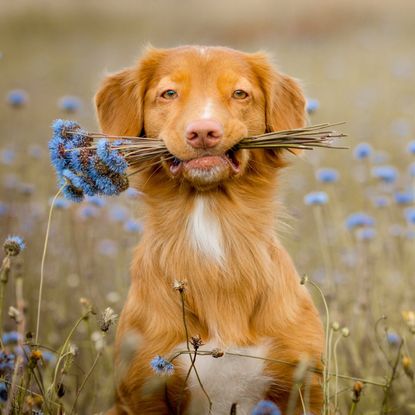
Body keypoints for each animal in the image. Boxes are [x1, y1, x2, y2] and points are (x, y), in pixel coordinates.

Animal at [96, 45, 324, 415]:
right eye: (169, 93)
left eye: (240, 93)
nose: (203, 132)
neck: (211, 224)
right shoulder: (143, 392)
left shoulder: (302, 388)